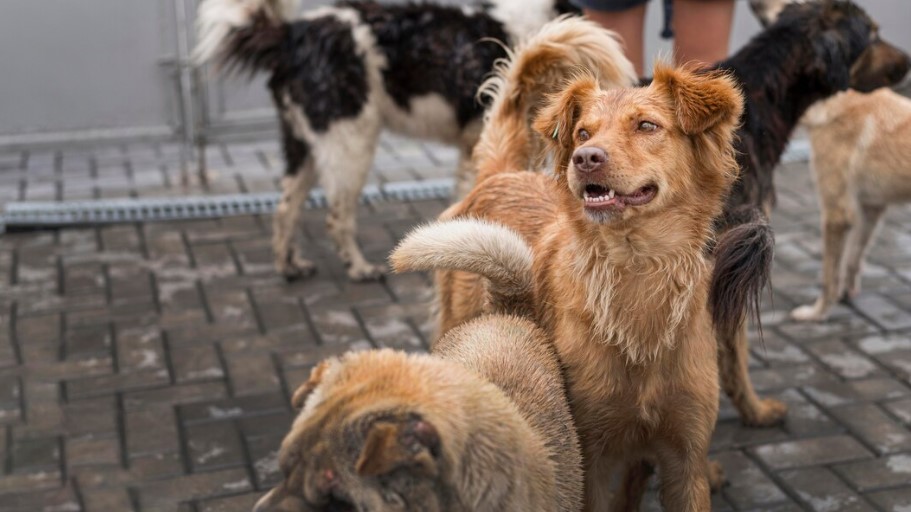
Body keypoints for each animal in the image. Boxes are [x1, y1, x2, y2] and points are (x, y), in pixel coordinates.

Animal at [195, 0, 632, 282]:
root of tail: (292, 34)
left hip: (303, 144)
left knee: (286, 208)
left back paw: (290, 266)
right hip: (349, 142)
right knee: (337, 216)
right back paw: (359, 268)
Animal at [396, 59, 744, 508]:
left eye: (647, 126)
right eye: (583, 133)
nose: (585, 158)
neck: (636, 270)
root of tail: (501, 174)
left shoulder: (686, 460)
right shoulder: (586, 458)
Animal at [792, 87, 911, 320]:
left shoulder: (836, 214)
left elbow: (828, 277)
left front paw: (817, 313)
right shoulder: (870, 208)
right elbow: (853, 259)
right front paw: (846, 294)